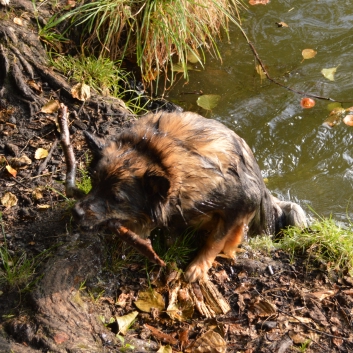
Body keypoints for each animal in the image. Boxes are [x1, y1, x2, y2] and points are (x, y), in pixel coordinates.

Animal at [73, 110, 306, 280]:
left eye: (117, 199)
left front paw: (198, 267)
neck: (158, 154)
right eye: (93, 181)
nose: (76, 212)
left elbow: (215, 241)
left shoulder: (238, 206)